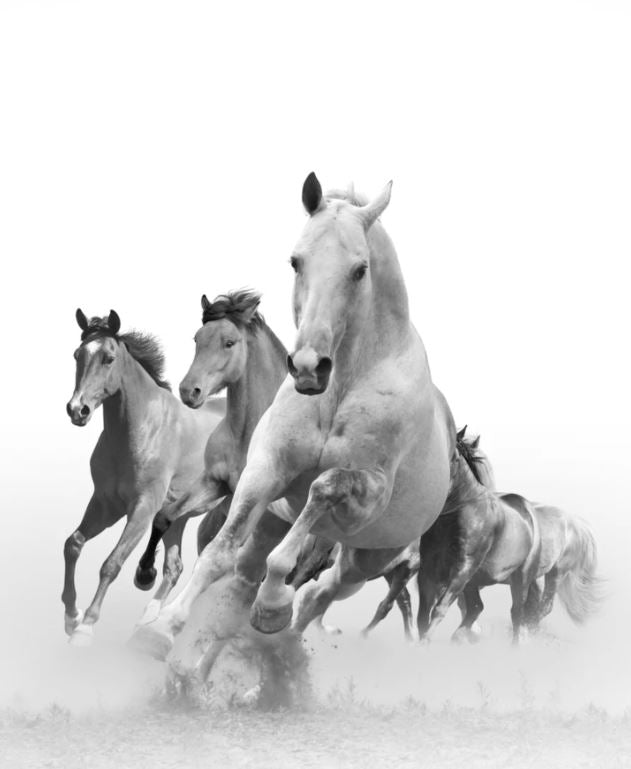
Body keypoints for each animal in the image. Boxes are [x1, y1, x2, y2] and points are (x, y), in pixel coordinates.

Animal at [63, 309, 226, 645]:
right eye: (77, 355)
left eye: (109, 358)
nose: (77, 410)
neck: (141, 430)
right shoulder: (105, 504)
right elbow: (73, 544)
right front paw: (71, 617)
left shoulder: (143, 508)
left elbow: (112, 563)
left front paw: (86, 627)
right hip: (180, 516)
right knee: (175, 567)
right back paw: (148, 621)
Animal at [133, 290, 289, 624]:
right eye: (197, 338)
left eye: (229, 342)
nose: (188, 391)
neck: (247, 433)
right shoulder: (215, 483)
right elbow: (165, 517)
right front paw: (144, 574)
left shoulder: (253, 503)